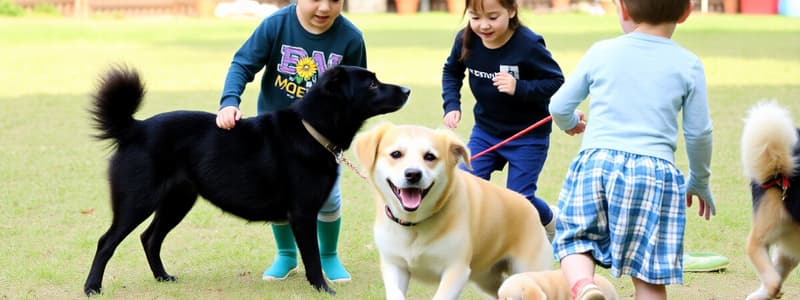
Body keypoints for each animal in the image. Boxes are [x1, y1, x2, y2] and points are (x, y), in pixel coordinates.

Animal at [83, 64, 410, 296]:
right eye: (372, 83)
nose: (407, 89)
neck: (311, 128)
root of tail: (134, 128)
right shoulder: (302, 214)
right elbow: (312, 258)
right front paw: (322, 288)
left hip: (177, 202)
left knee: (150, 238)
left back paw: (163, 277)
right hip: (137, 202)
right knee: (106, 241)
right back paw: (92, 288)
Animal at [354, 123, 552, 298]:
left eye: (430, 156)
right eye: (396, 154)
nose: (413, 174)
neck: (414, 224)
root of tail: (528, 206)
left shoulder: (456, 271)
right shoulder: (394, 266)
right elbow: (395, 293)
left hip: (528, 270)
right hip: (487, 279)